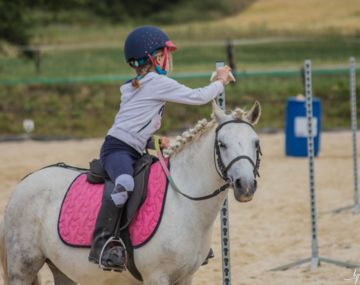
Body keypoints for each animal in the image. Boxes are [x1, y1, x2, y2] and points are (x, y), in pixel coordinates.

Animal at [1, 101, 262, 282]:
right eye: (222, 144)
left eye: (256, 142)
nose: (246, 186)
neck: (184, 202)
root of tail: (26, 181)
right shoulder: (157, 277)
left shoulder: (186, 277)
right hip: (22, 268)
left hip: (62, 269)